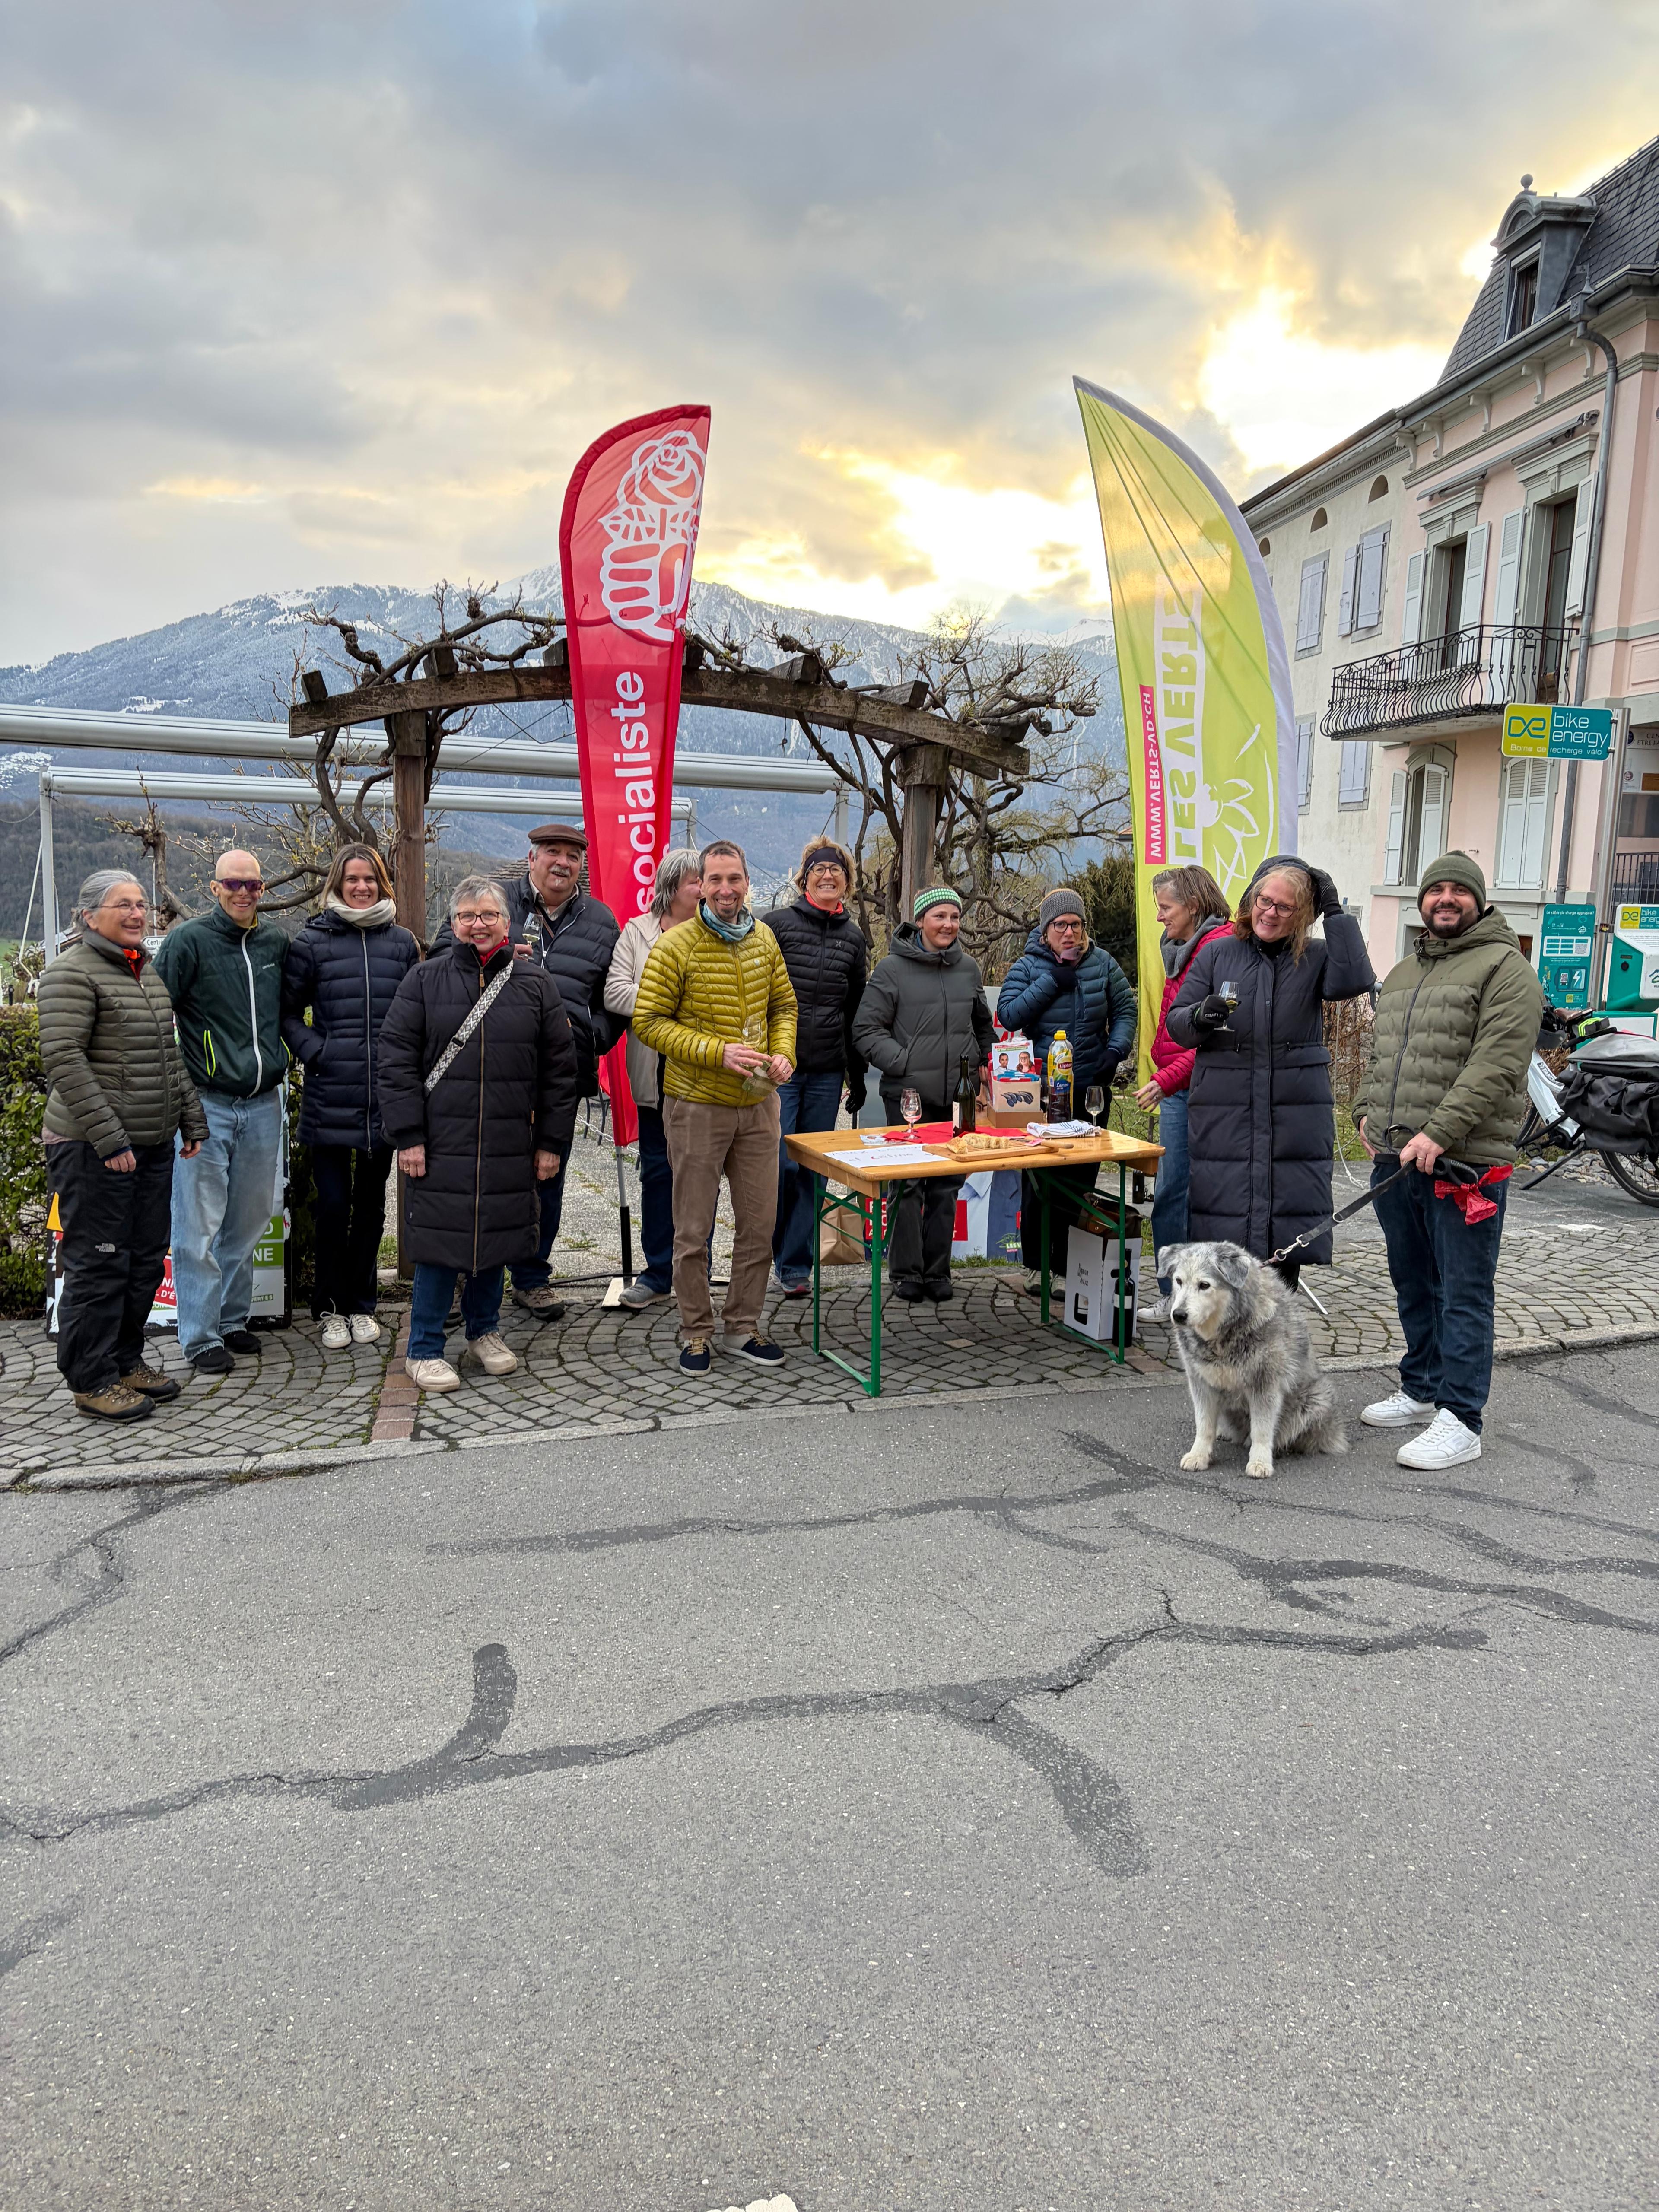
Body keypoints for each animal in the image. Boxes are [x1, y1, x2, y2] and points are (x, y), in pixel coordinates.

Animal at [1160, 1240, 1347, 1480]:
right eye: (1179, 1281)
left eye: (1204, 1285)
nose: (1179, 1315)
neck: (1224, 1333)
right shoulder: (1201, 1382)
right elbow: (1204, 1425)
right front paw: (1199, 1455)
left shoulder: (1265, 1384)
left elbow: (1262, 1429)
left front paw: (1259, 1461)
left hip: (1316, 1398)